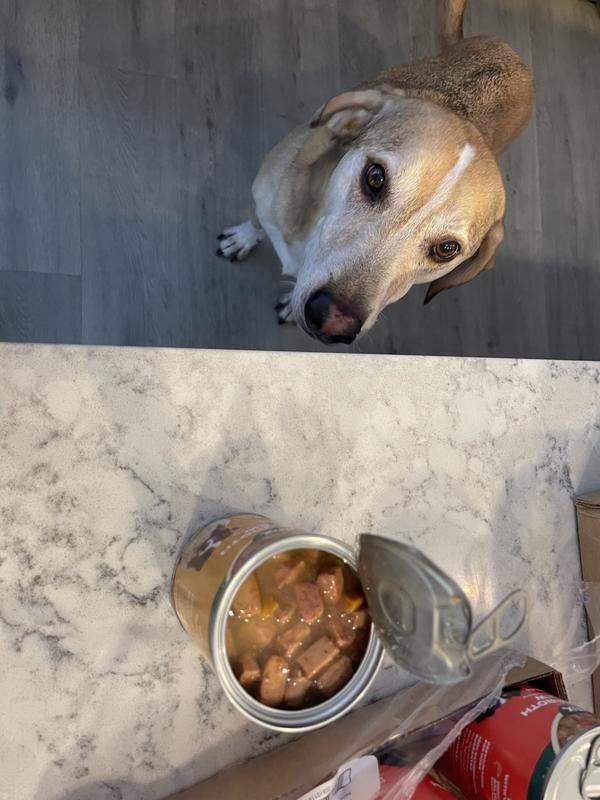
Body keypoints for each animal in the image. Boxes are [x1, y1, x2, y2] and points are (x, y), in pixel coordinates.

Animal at [216, 0, 533, 345]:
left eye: (446, 249)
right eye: (375, 178)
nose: (333, 323)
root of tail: (513, 56)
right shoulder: (264, 201)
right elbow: (255, 222)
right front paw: (242, 239)